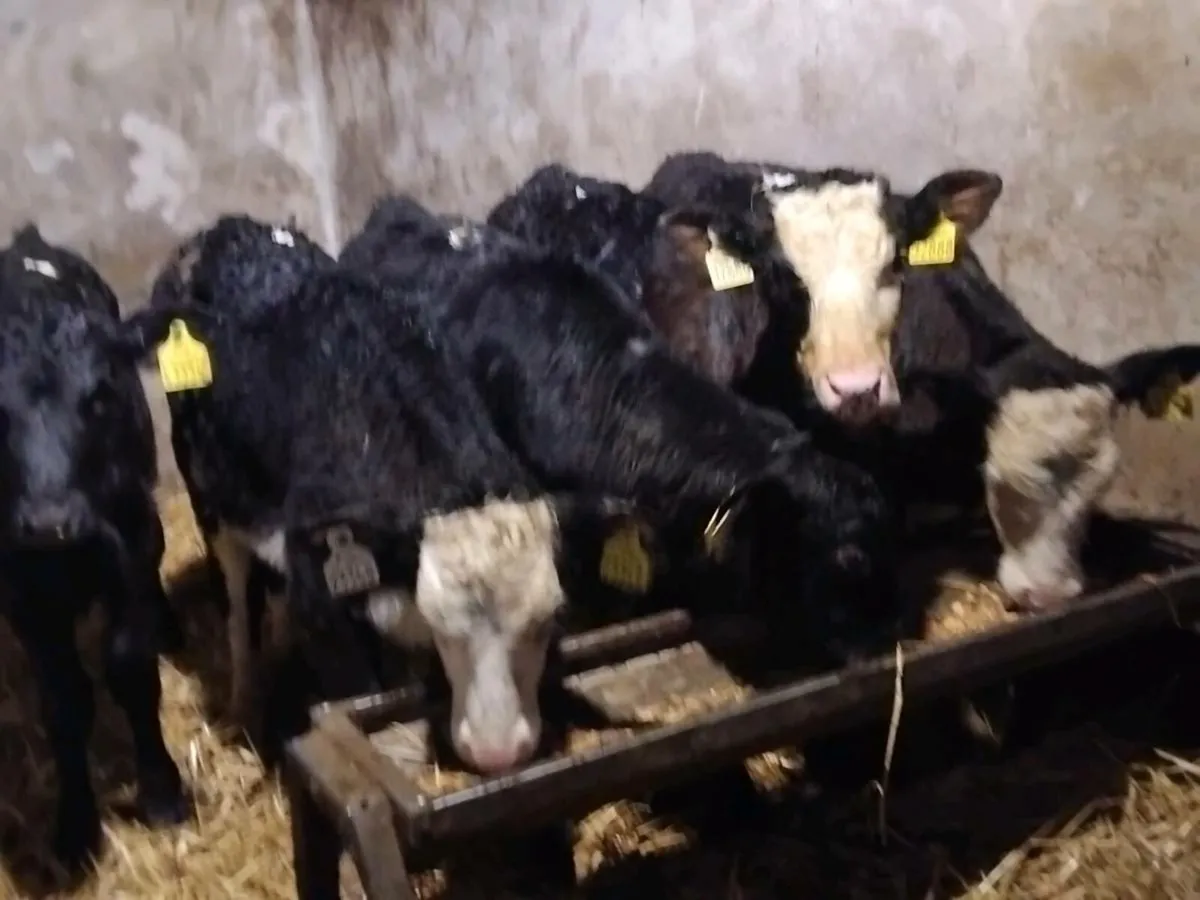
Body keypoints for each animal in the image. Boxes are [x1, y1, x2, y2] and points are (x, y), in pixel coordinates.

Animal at [0, 225, 191, 867]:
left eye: (100, 396)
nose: (49, 521)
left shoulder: (130, 541)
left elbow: (130, 667)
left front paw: (161, 791)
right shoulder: (20, 585)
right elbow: (64, 700)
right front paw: (76, 823)